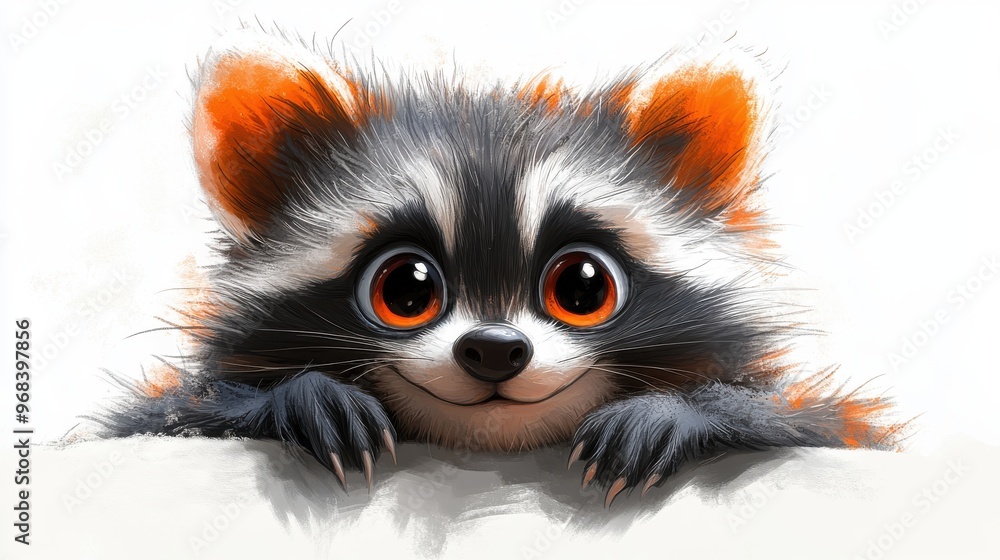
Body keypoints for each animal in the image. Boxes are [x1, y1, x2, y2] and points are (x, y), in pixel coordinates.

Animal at [101, 30, 899, 507]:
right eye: (405, 289)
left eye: (582, 286)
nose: (493, 349)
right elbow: (170, 415)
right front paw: (305, 394)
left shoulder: (831, 425)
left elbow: (808, 420)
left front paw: (674, 410)